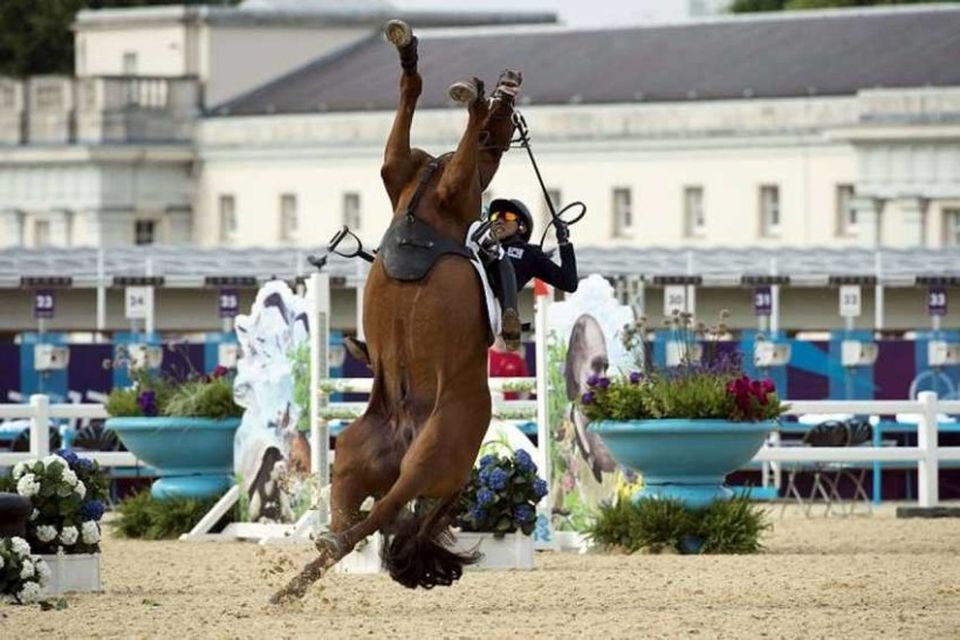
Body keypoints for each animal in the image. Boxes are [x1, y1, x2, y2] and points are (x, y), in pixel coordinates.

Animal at [274, 18, 520, 600]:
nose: (509, 81)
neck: (425, 195)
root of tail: (408, 432)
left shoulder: (453, 187)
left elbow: (452, 141)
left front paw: (471, 98)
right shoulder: (398, 168)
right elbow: (408, 98)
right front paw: (411, 52)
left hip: (427, 460)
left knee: (381, 515)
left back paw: (307, 569)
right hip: (351, 457)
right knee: (363, 521)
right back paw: (297, 579)